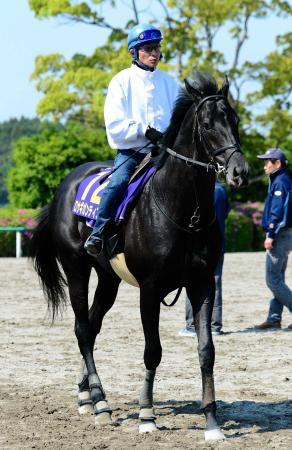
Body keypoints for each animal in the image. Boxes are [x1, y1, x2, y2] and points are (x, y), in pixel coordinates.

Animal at [30, 72, 249, 442]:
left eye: (234, 120)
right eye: (207, 125)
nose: (240, 171)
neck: (183, 211)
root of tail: (64, 188)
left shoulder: (203, 284)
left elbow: (207, 351)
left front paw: (211, 422)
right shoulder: (150, 290)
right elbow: (153, 351)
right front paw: (147, 415)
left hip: (108, 279)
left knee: (92, 326)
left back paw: (86, 395)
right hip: (76, 269)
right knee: (81, 328)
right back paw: (101, 403)